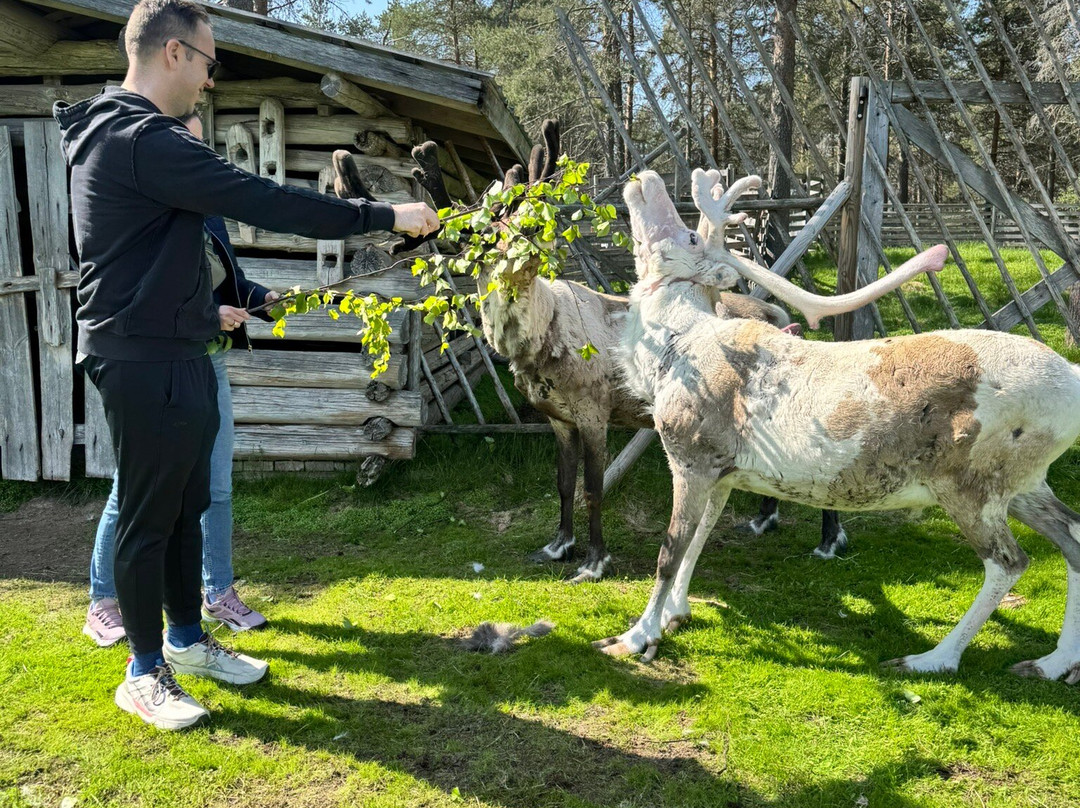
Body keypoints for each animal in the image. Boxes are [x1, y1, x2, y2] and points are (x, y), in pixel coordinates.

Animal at [593, 168, 1080, 686]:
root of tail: (1073, 378)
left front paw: (637, 636)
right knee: (1073, 537)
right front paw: (676, 614)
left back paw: (931, 658)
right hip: (1025, 484)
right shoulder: (722, 472)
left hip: (971, 485)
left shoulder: (691, 456)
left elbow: (669, 552)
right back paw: (1054, 662)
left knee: (1010, 562)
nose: (645, 178)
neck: (670, 349)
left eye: (687, 235)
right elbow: (697, 541)